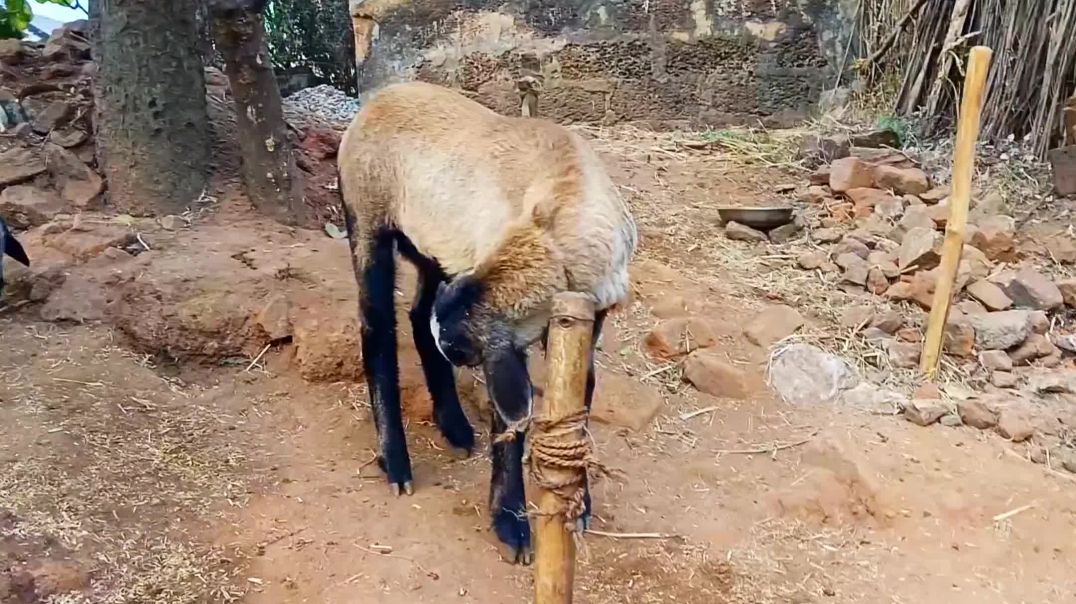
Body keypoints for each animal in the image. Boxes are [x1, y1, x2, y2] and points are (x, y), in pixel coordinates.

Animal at [337, 81, 636, 564]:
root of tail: (382, 95)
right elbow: (509, 426)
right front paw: (512, 526)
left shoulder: (588, 322)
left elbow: (579, 408)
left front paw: (579, 506)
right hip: (366, 219)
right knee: (377, 327)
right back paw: (396, 463)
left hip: (433, 247)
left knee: (418, 317)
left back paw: (456, 428)